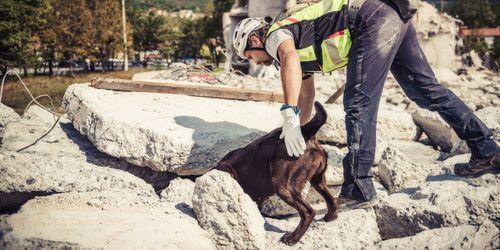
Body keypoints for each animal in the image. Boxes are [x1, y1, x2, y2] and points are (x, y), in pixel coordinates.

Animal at [215, 101, 336, 244]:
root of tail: (306, 132)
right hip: (318, 180)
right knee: (332, 200)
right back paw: (330, 216)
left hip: (283, 186)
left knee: (308, 213)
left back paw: (292, 238)